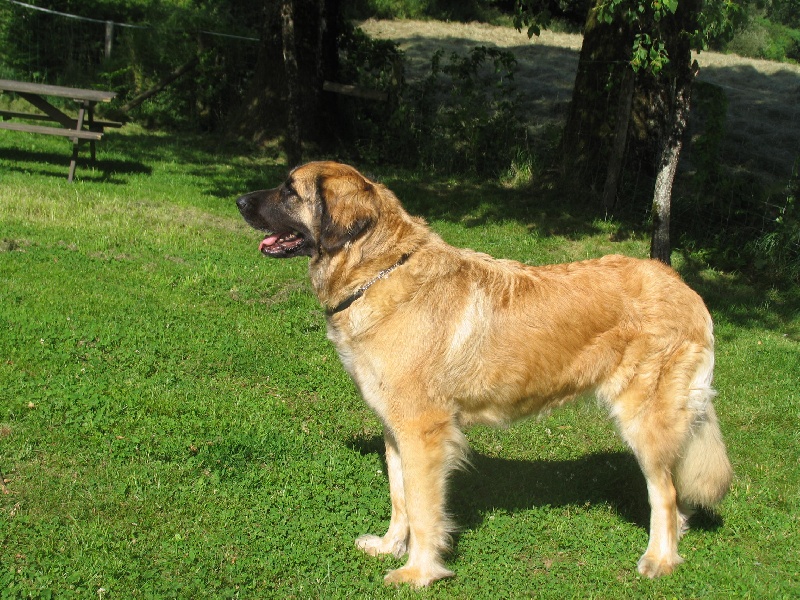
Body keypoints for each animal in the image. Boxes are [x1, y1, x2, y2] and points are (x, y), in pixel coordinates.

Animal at [236, 159, 732, 584]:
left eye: (289, 190)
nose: (239, 201)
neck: (379, 270)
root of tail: (685, 287)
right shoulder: (395, 429)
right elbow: (400, 498)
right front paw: (390, 546)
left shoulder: (424, 432)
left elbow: (423, 507)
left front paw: (418, 572)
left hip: (645, 418)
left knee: (665, 494)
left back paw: (659, 559)